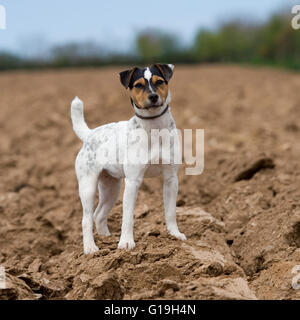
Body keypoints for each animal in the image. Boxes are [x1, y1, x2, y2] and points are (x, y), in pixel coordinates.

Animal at [71, 63, 186, 254]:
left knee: (99, 215)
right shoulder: (133, 181)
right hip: (88, 186)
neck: (154, 128)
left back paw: (106, 238)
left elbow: (170, 212)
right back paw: (91, 248)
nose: (153, 96)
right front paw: (126, 243)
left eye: (159, 82)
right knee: (86, 219)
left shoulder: (171, 179)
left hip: (111, 188)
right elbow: (127, 217)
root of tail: (90, 134)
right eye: (138, 85)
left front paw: (174, 235)